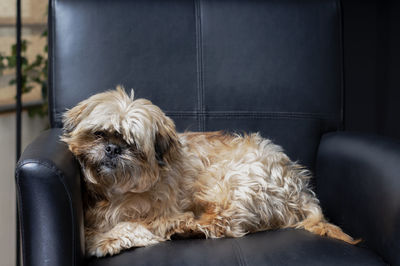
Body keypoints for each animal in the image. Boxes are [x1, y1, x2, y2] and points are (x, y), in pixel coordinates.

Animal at [61, 86, 360, 256]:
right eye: (100, 134)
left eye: (131, 144)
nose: (112, 149)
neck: (116, 191)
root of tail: (299, 188)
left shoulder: (159, 215)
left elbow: (130, 226)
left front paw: (104, 239)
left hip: (232, 183)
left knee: (225, 224)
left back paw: (188, 229)